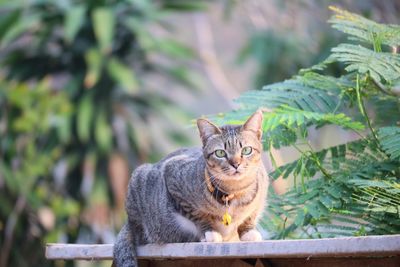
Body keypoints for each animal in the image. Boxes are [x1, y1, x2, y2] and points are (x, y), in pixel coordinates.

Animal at [112, 110, 268, 266]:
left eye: (246, 150)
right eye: (220, 153)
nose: (236, 164)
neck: (234, 191)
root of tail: (129, 221)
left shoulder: (262, 191)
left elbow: (251, 214)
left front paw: (248, 231)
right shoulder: (173, 176)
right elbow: (196, 214)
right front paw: (209, 231)